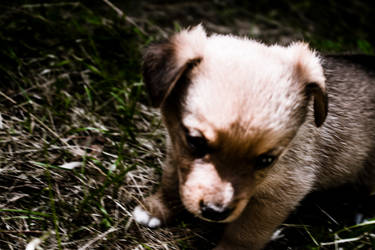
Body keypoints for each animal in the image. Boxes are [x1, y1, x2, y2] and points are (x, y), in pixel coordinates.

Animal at [133, 24, 375, 249]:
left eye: (266, 160)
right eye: (195, 141)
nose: (215, 212)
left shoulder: (280, 195)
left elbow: (245, 233)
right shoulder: (175, 148)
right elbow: (170, 182)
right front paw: (156, 209)